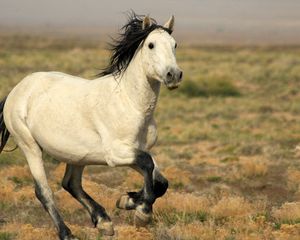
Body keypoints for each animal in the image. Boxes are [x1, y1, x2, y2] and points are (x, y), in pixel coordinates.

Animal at [0, 13, 183, 240]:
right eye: (151, 45)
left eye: (175, 44)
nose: (173, 75)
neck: (130, 103)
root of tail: (17, 90)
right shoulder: (116, 154)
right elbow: (148, 164)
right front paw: (142, 212)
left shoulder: (135, 150)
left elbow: (161, 182)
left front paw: (127, 200)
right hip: (30, 146)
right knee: (44, 191)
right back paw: (67, 233)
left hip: (78, 155)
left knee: (71, 183)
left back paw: (104, 222)